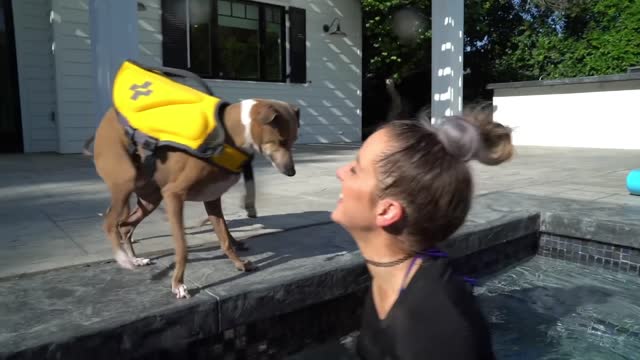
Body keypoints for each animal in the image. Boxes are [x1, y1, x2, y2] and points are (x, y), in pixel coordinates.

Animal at [84, 60, 300, 300]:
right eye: (279, 140)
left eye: (293, 140)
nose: (291, 172)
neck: (228, 135)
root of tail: (107, 118)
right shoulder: (174, 196)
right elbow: (182, 246)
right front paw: (178, 284)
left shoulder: (212, 199)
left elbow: (225, 239)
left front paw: (239, 264)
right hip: (126, 183)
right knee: (110, 223)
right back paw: (124, 259)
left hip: (150, 200)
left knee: (125, 226)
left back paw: (135, 258)